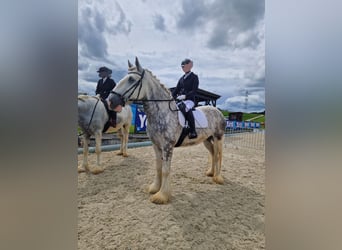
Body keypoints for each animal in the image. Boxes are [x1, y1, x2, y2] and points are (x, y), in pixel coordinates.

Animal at [108, 57, 226, 204]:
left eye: (131, 79)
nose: (110, 101)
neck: (161, 113)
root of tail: (217, 111)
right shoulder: (156, 145)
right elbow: (158, 167)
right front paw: (154, 188)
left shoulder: (167, 146)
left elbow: (165, 170)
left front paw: (162, 196)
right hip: (207, 140)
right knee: (213, 154)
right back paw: (211, 173)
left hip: (218, 137)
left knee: (219, 155)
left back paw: (218, 178)